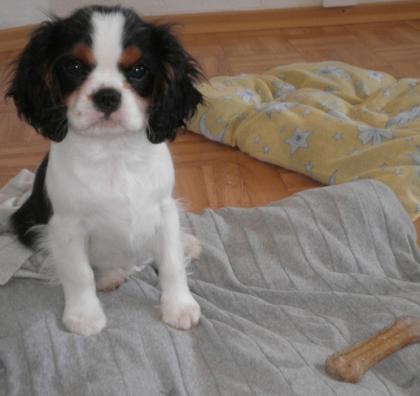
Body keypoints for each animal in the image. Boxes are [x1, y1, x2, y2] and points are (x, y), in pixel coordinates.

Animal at [6, 5, 203, 334]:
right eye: (74, 66)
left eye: (138, 70)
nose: (107, 96)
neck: (113, 151)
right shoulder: (66, 225)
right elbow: (78, 272)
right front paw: (84, 316)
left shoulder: (163, 208)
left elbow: (171, 261)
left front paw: (179, 305)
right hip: (25, 222)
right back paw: (109, 275)